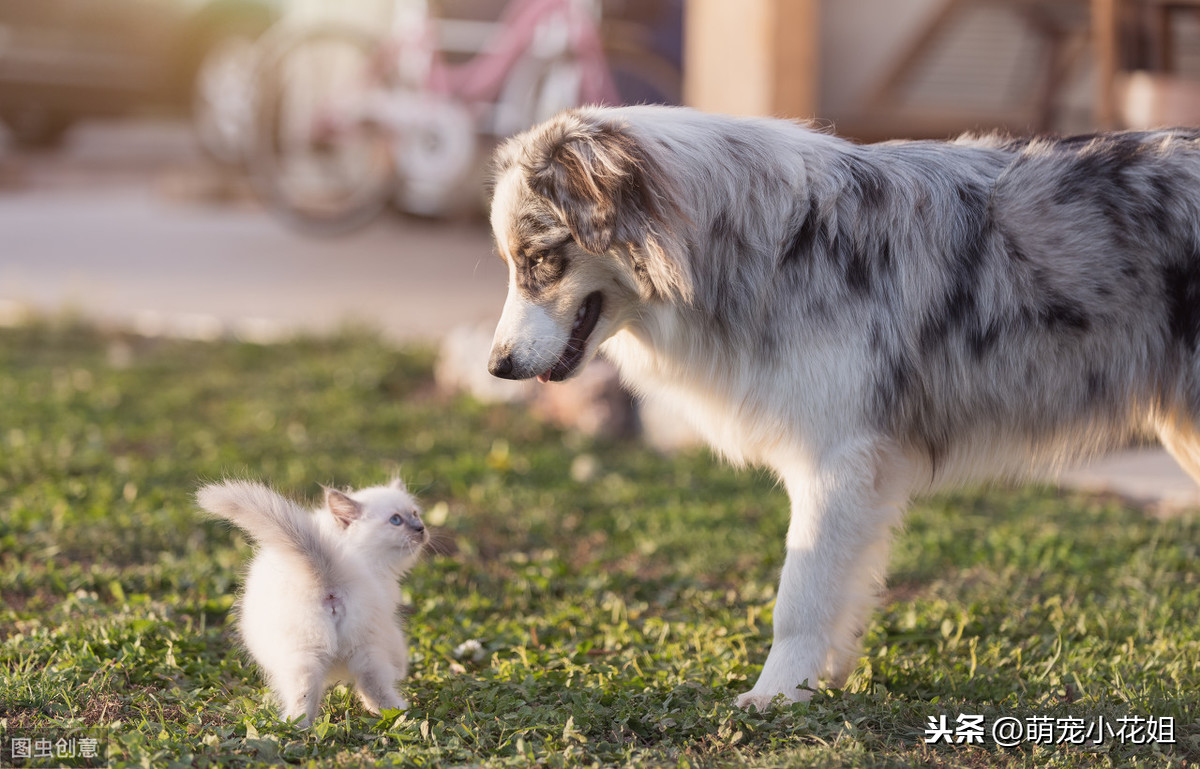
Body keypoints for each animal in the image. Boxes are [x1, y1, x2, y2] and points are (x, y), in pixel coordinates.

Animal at [200, 477, 432, 724]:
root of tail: (326, 577)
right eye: (396, 520)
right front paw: (402, 671)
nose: (421, 528)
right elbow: (399, 654)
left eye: (415, 513)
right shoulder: (389, 619)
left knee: (322, 688)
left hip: (314, 653)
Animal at [484, 103, 1200, 710]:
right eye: (510, 262)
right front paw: (819, 681)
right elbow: (840, 588)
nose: (497, 367)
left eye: (540, 259)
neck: (767, 249)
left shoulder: (837, 457)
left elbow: (799, 594)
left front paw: (776, 695)